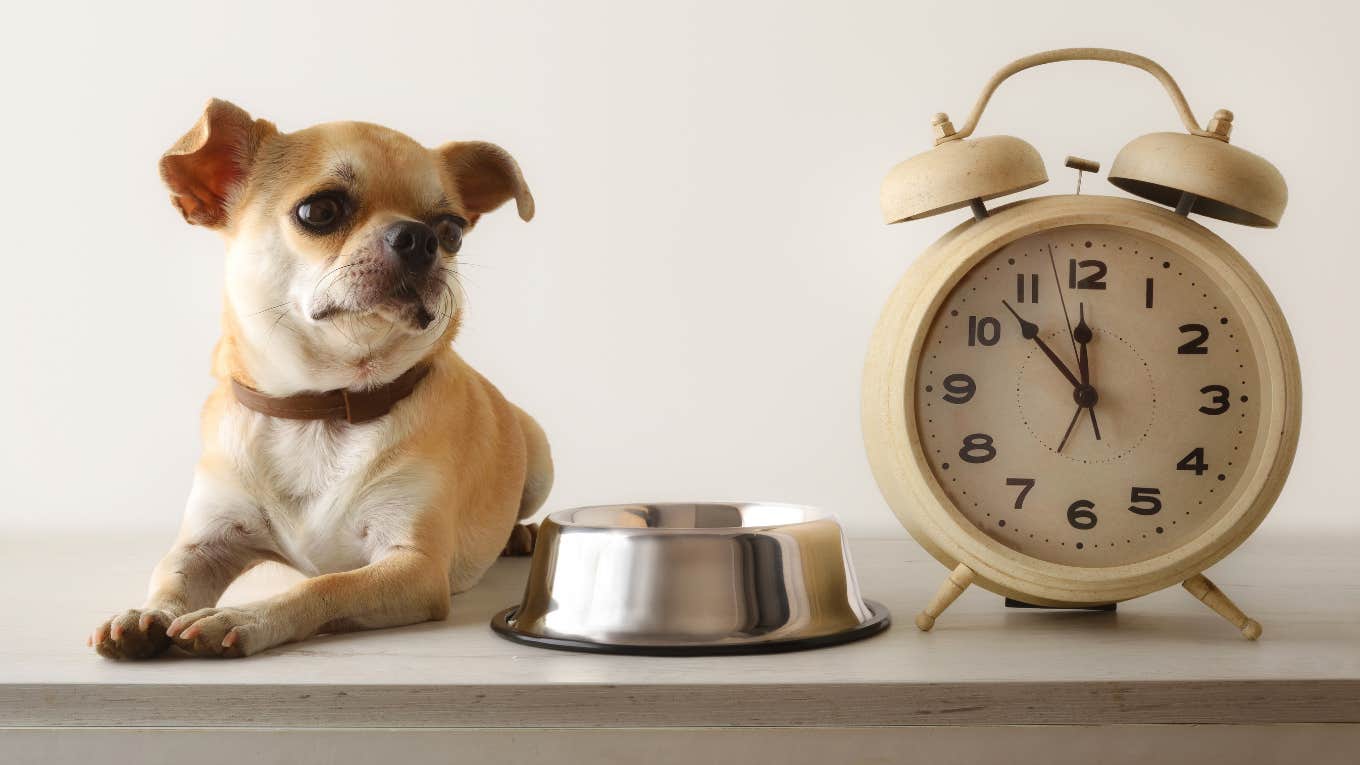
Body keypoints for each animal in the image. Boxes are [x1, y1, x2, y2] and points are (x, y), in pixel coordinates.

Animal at [89, 100, 552, 656]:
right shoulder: (206, 543)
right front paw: (147, 613)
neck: (324, 405)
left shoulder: (413, 567)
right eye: (320, 211)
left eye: (451, 231)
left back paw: (518, 535)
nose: (420, 238)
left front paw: (239, 617)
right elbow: (170, 576)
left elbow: (324, 586)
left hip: (539, 459)